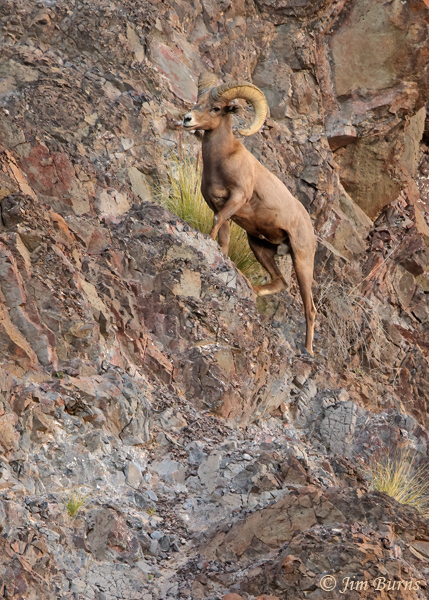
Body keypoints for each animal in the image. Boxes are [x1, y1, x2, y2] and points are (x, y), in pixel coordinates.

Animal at [182, 72, 316, 354]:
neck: (223, 158)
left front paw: (206, 242)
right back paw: (252, 290)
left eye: (216, 108)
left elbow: (215, 224)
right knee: (280, 282)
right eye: (198, 101)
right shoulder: (223, 209)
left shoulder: (235, 200)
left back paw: (308, 350)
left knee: (310, 308)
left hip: (302, 261)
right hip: (259, 245)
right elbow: (222, 238)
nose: (187, 119)